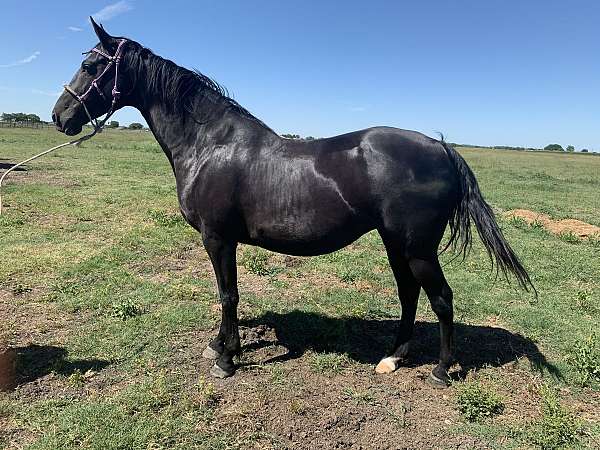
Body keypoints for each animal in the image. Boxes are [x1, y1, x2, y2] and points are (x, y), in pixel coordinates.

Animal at [51, 19, 532, 384]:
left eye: (91, 65)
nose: (60, 116)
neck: (210, 144)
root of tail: (442, 148)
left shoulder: (218, 238)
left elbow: (228, 294)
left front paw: (226, 358)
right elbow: (227, 294)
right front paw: (220, 345)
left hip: (417, 248)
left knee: (441, 299)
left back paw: (441, 370)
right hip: (397, 244)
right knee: (409, 293)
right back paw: (393, 358)